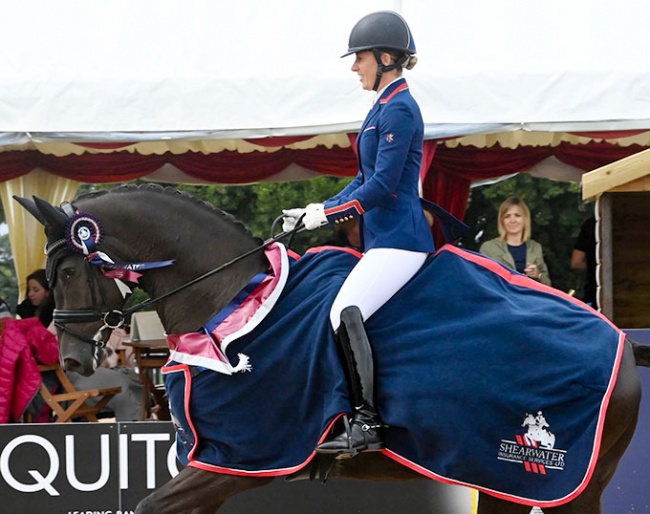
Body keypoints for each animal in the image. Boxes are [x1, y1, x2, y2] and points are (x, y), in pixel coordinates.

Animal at [15, 184, 648, 512]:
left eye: (67, 271)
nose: (71, 360)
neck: (230, 299)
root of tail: (620, 342)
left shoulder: (244, 457)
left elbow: (148, 505)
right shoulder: (218, 461)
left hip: (556, 483)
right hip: (506, 485)